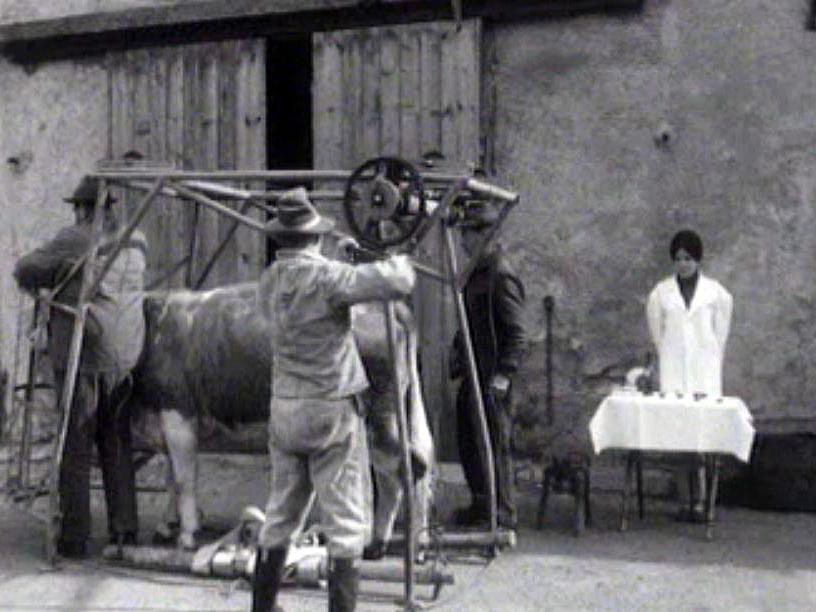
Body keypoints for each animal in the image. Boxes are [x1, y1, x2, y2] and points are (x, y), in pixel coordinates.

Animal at [126, 284, 434, 556]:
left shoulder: (178, 411)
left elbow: (183, 478)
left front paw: (187, 534)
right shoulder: (165, 419)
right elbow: (170, 476)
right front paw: (166, 526)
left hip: (380, 414)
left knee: (404, 468)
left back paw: (403, 545)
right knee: (406, 465)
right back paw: (389, 543)